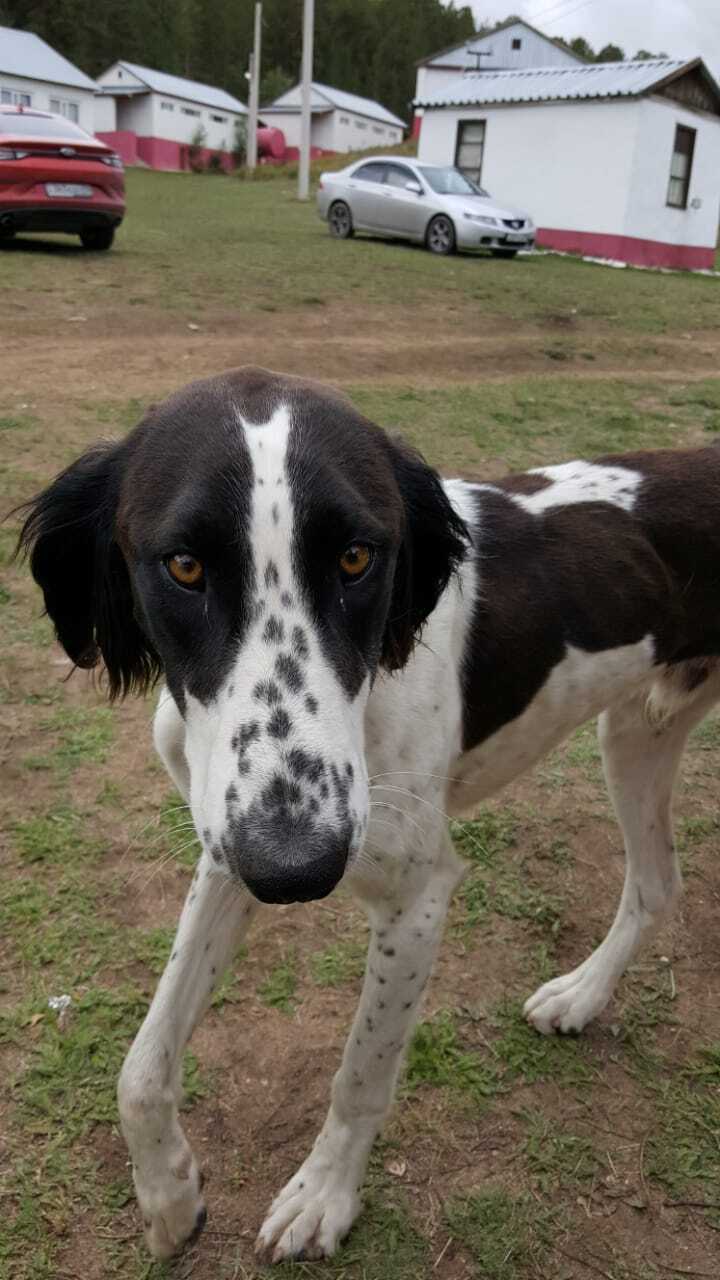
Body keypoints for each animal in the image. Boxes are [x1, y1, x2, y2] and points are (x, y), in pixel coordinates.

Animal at [19, 368, 717, 1259]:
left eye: (357, 557)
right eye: (183, 566)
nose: (297, 871)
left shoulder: (417, 897)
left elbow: (360, 1073)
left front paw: (323, 1196)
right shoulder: (231, 850)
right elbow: (139, 1068)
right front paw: (170, 1196)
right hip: (636, 732)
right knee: (658, 882)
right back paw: (582, 997)